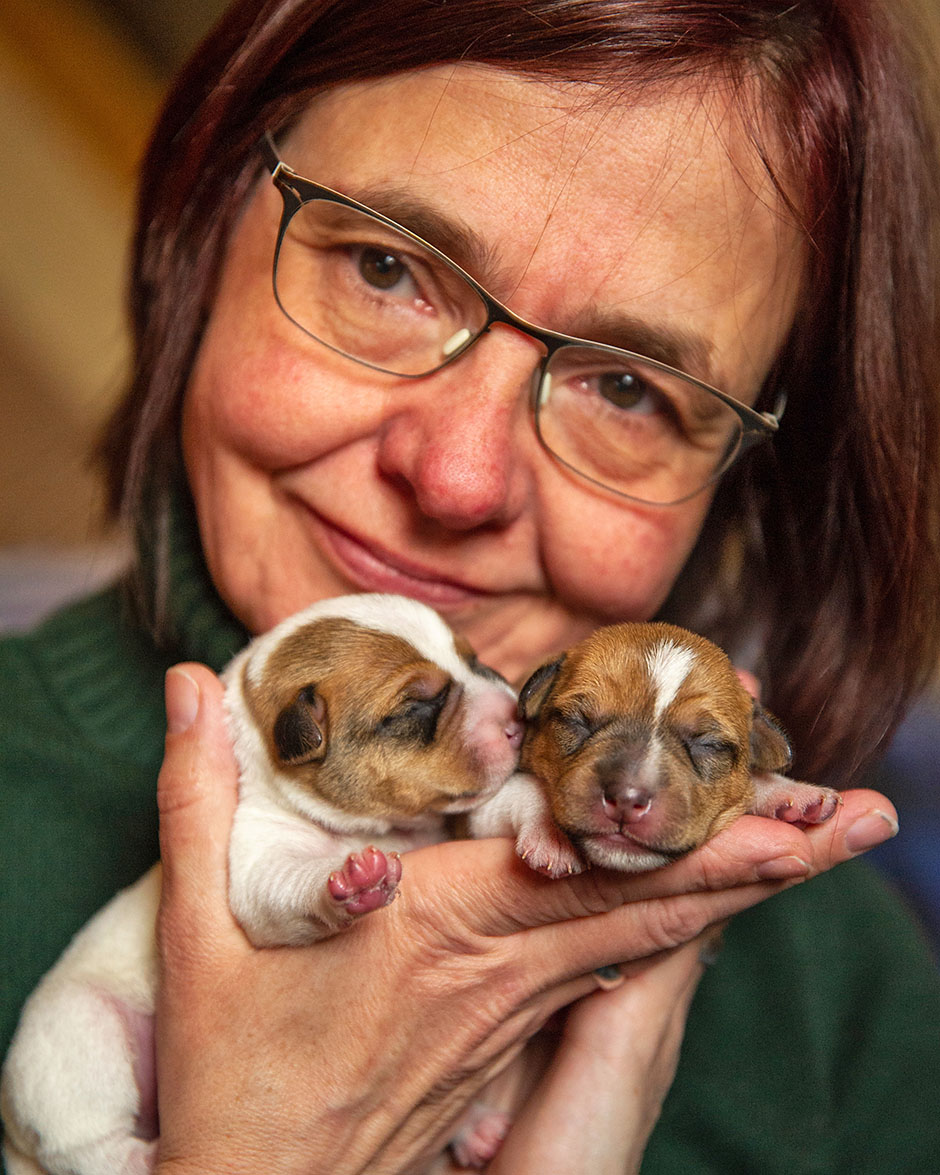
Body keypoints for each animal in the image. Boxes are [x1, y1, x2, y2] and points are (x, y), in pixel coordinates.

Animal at [1, 592, 521, 1175]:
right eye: (418, 704)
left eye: (474, 659)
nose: (518, 717)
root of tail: (14, 1140)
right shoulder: (257, 853)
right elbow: (282, 887)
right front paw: (350, 879)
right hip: (79, 1038)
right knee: (87, 1144)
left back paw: (475, 1125)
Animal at [474, 620, 841, 878]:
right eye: (577, 721)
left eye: (708, 744)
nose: (626, 799)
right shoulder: (478, 815)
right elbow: (524, 789)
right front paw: (551, 837)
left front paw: (790, 793)